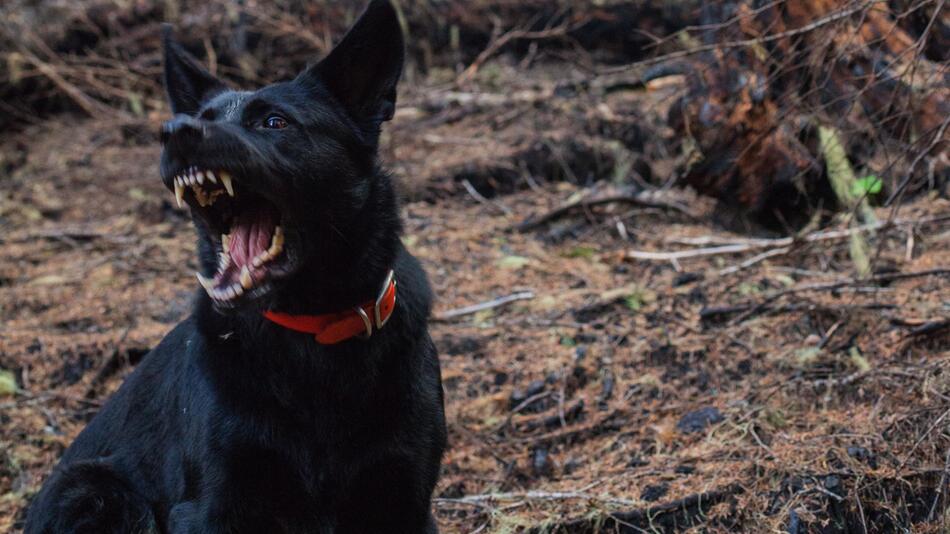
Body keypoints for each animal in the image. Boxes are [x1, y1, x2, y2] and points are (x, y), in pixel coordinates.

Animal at [25, 2, 450, 532]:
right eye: (200, 118)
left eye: (274, 122)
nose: (174, 131)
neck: (314, 333)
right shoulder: (212, 504)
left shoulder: (404, 498)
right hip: (97, 492)